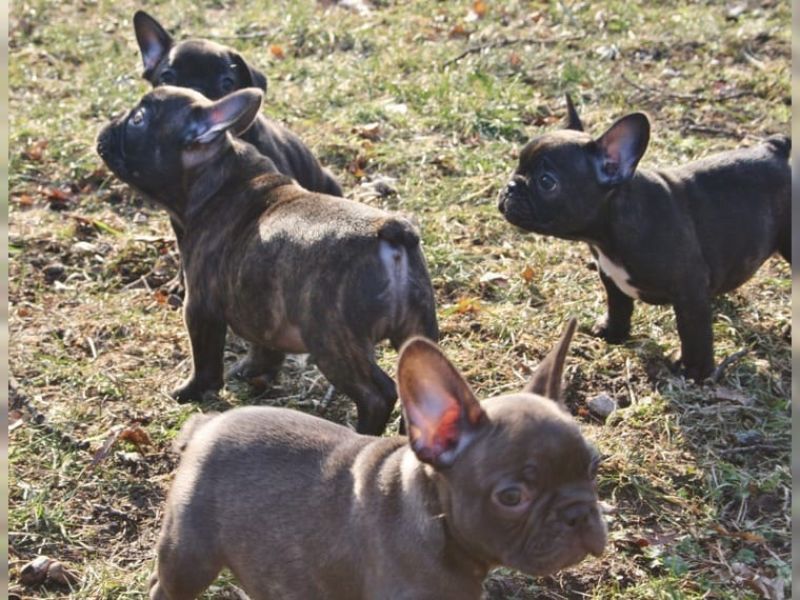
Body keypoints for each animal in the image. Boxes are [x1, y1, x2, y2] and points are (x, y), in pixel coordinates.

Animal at [97, 86, 438, 434]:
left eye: (138, 119)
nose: (109, 125)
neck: (218, 179)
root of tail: (391, 229)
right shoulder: (261, 310)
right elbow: (264, 347)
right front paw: (251, 370)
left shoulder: (200, 307)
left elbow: (205, 359)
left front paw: (189, 392)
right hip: (419, 327)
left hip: (332, 339)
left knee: (377, 395)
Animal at [147, 319, 606, 600]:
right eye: (512, 497)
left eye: (592, 467)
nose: (579, 512)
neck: (435, 516)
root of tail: (206, 426)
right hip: (191, 554)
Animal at [498, 95, 790, 381]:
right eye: (517, 165)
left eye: (546, 181)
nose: (509, 187)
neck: (609, 233)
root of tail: (775, 148)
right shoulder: (610, 277)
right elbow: (618, 306)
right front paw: (613, 332)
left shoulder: (689, 292)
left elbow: (694, 332)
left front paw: (696, 371)